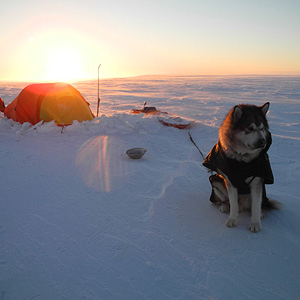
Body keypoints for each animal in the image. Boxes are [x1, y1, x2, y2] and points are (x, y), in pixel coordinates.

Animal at [203, 102, 278, 232]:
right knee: (229, 200)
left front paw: (255, 223)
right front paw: (233, 219)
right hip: (216, 181)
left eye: (262, 128)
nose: (263, 141)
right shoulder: (230, 180)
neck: (241, 160)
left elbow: (256, 205)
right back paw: (225, 206)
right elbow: (233, 203)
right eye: (250, 129)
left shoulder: (257, 182)